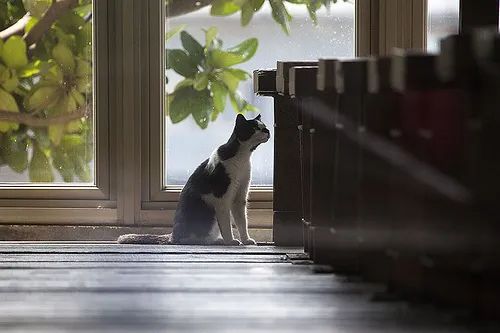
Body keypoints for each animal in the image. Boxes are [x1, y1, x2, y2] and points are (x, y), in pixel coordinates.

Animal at [117, 113, 270, 245]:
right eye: (255, 128)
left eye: (264, 126)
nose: (267, 130)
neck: (242, 157)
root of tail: (172, 236)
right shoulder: (222, 200)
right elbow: (226, 225)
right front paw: (230, 241)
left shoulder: (240, 197)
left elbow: (242, 222)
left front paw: (246, 240)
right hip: (208, 211)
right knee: (194, 239)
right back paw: (217, 241)